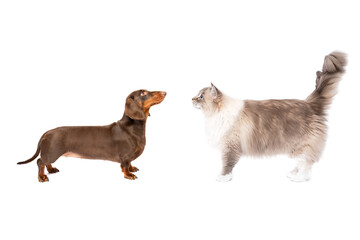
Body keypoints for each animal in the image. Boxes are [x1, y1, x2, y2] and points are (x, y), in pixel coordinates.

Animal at [17, 90, 167, 182]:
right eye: (143, 93)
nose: (165, 92)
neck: (132, 128)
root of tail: (47, 132)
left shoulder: (129, 157)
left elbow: (130, 163)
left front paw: (132, 168)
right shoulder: (124, 156)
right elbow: (124, 165)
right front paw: (129, 174)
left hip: (51, 153)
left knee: (46, 162)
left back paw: (51, 170)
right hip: (52, 152)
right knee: (40, 162)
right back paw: (42, 177)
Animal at [193, 51, 348, 182]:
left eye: (200, 97)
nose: (191, 99)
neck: (215, 113)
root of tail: (309, 103)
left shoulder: (230, 145)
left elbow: (227, 164)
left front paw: (223, 177)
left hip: (302, 145)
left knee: (307, 163)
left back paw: (299, 178)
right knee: (304, 163)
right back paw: (293, 173)